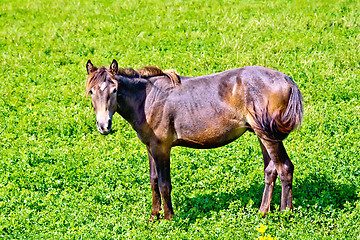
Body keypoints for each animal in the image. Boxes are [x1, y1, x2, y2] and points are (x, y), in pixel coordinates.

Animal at [86, 59, 302, 220]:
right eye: (91, 92)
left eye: (114, 90)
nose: (104, 126)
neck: (148, 99)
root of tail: (286, 79)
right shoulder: (150, 147)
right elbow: (153, 181)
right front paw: (153, 216)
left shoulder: (161, 148)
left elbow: (164, 184)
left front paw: (169, 218)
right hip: (261, 134)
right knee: (271, 170)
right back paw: (262, 212)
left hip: (269, 136)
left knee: (284, 168)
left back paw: (285, 213)